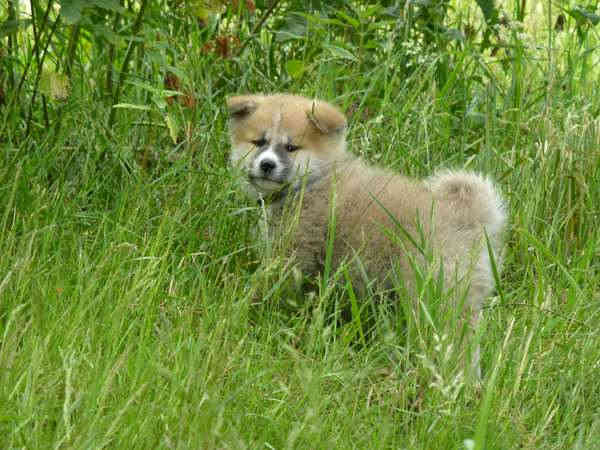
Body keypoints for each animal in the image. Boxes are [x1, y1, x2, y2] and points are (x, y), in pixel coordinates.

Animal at [227, 92, 504, 376]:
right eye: (258, 142)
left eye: (291, 147)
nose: (267, 164)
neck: (314, 181)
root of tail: (468, 215)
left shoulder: (292, 255)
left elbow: (266, 287)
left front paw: (247, 309)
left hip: (435, 289)